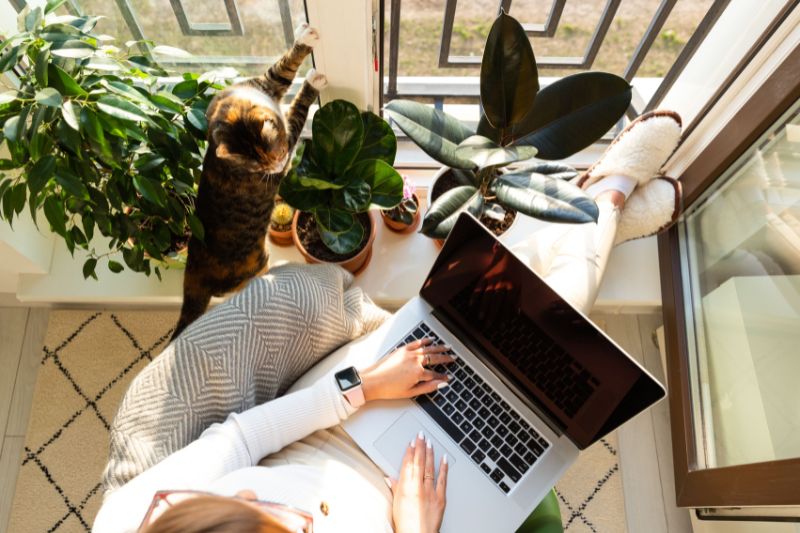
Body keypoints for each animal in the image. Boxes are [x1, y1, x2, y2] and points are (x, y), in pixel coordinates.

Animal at [172, 22, 328, 338]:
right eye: (261, 164)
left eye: (274, 153)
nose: (278, 163)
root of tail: (192, 276)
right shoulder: (289, 138)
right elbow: (297, 112)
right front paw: (313, 83)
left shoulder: (266, 83)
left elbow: (283, 66)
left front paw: (305, 39)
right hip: (256, 261)